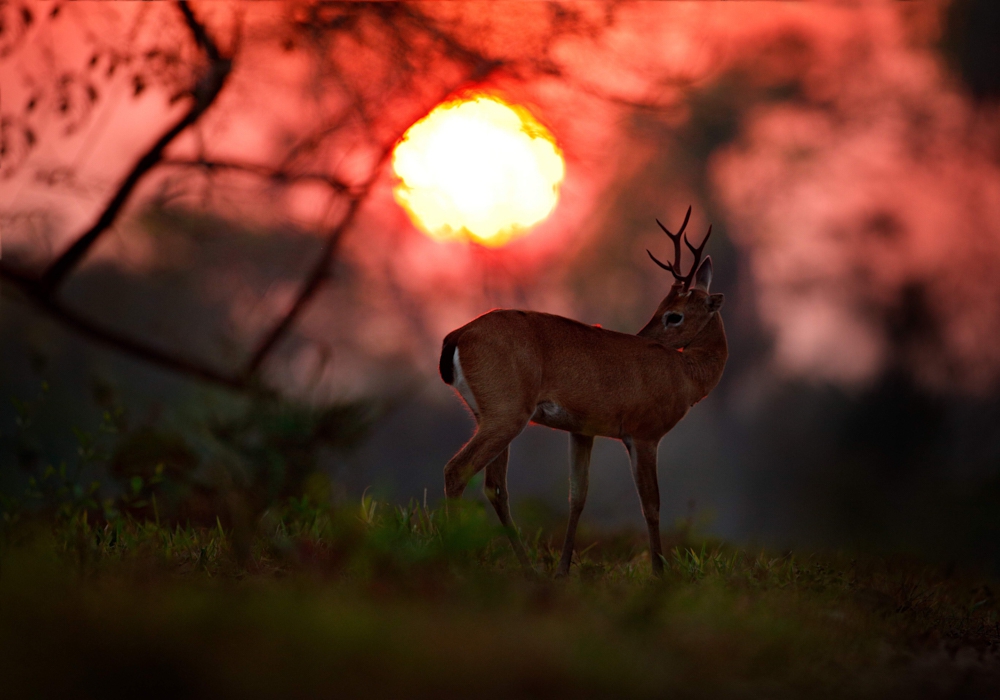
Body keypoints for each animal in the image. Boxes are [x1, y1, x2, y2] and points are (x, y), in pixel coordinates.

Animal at [438, 208, 728, 576]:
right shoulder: (644, 434)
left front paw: (563, 569)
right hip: (506, 414)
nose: (643, 338)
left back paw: (529, 569)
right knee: (457, 470)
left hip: (488, 415)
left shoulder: (582, 430)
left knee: (496, 487)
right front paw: (659, 572)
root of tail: (457, 335)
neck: (688, 375)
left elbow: (577, 496)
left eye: (674, 314)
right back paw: (454, 562)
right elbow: (651, 505)